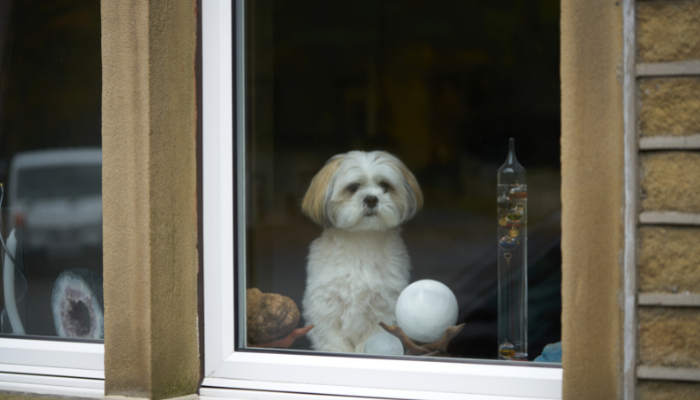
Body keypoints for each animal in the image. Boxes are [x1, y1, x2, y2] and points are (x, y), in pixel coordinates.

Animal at [300, 151, 422, 354]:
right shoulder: (325, 309)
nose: (371, 198)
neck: (362, 240)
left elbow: (370, 341)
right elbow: (335, 344)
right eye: (353, 187)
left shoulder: (384, 310)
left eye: (384, 186)